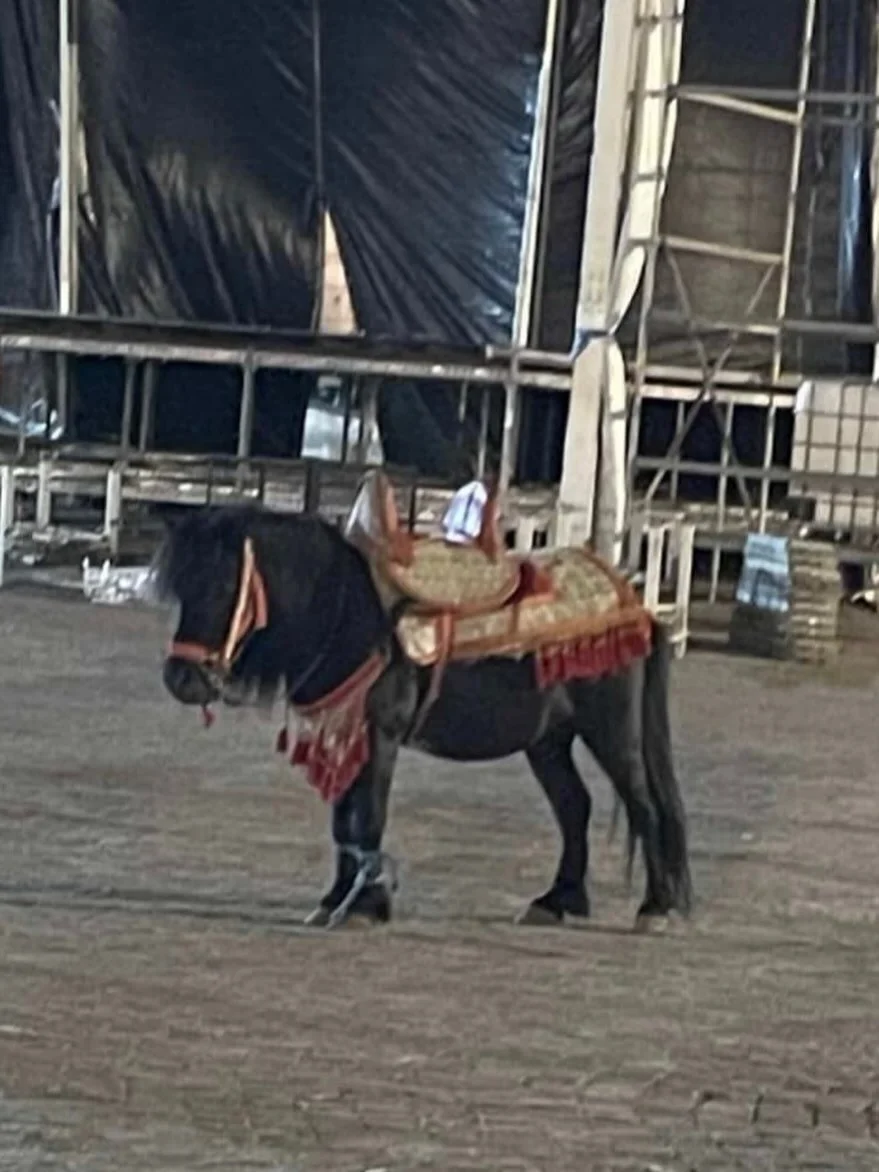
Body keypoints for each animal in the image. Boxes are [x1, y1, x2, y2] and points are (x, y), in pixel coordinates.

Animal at [155, 497, 692, 931]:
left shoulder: (379, 735)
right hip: (548, 741)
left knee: (644, 805)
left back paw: (656, 907)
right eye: (183, 588)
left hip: (611, 730)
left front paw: (365, 907)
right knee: (574, 807)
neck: (348, 615)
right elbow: (343, 822)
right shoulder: (344, 732)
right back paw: (557, 901)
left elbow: (366, 817)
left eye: (225, 585)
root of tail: (638, 609)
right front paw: (335, 900)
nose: (181, 679)